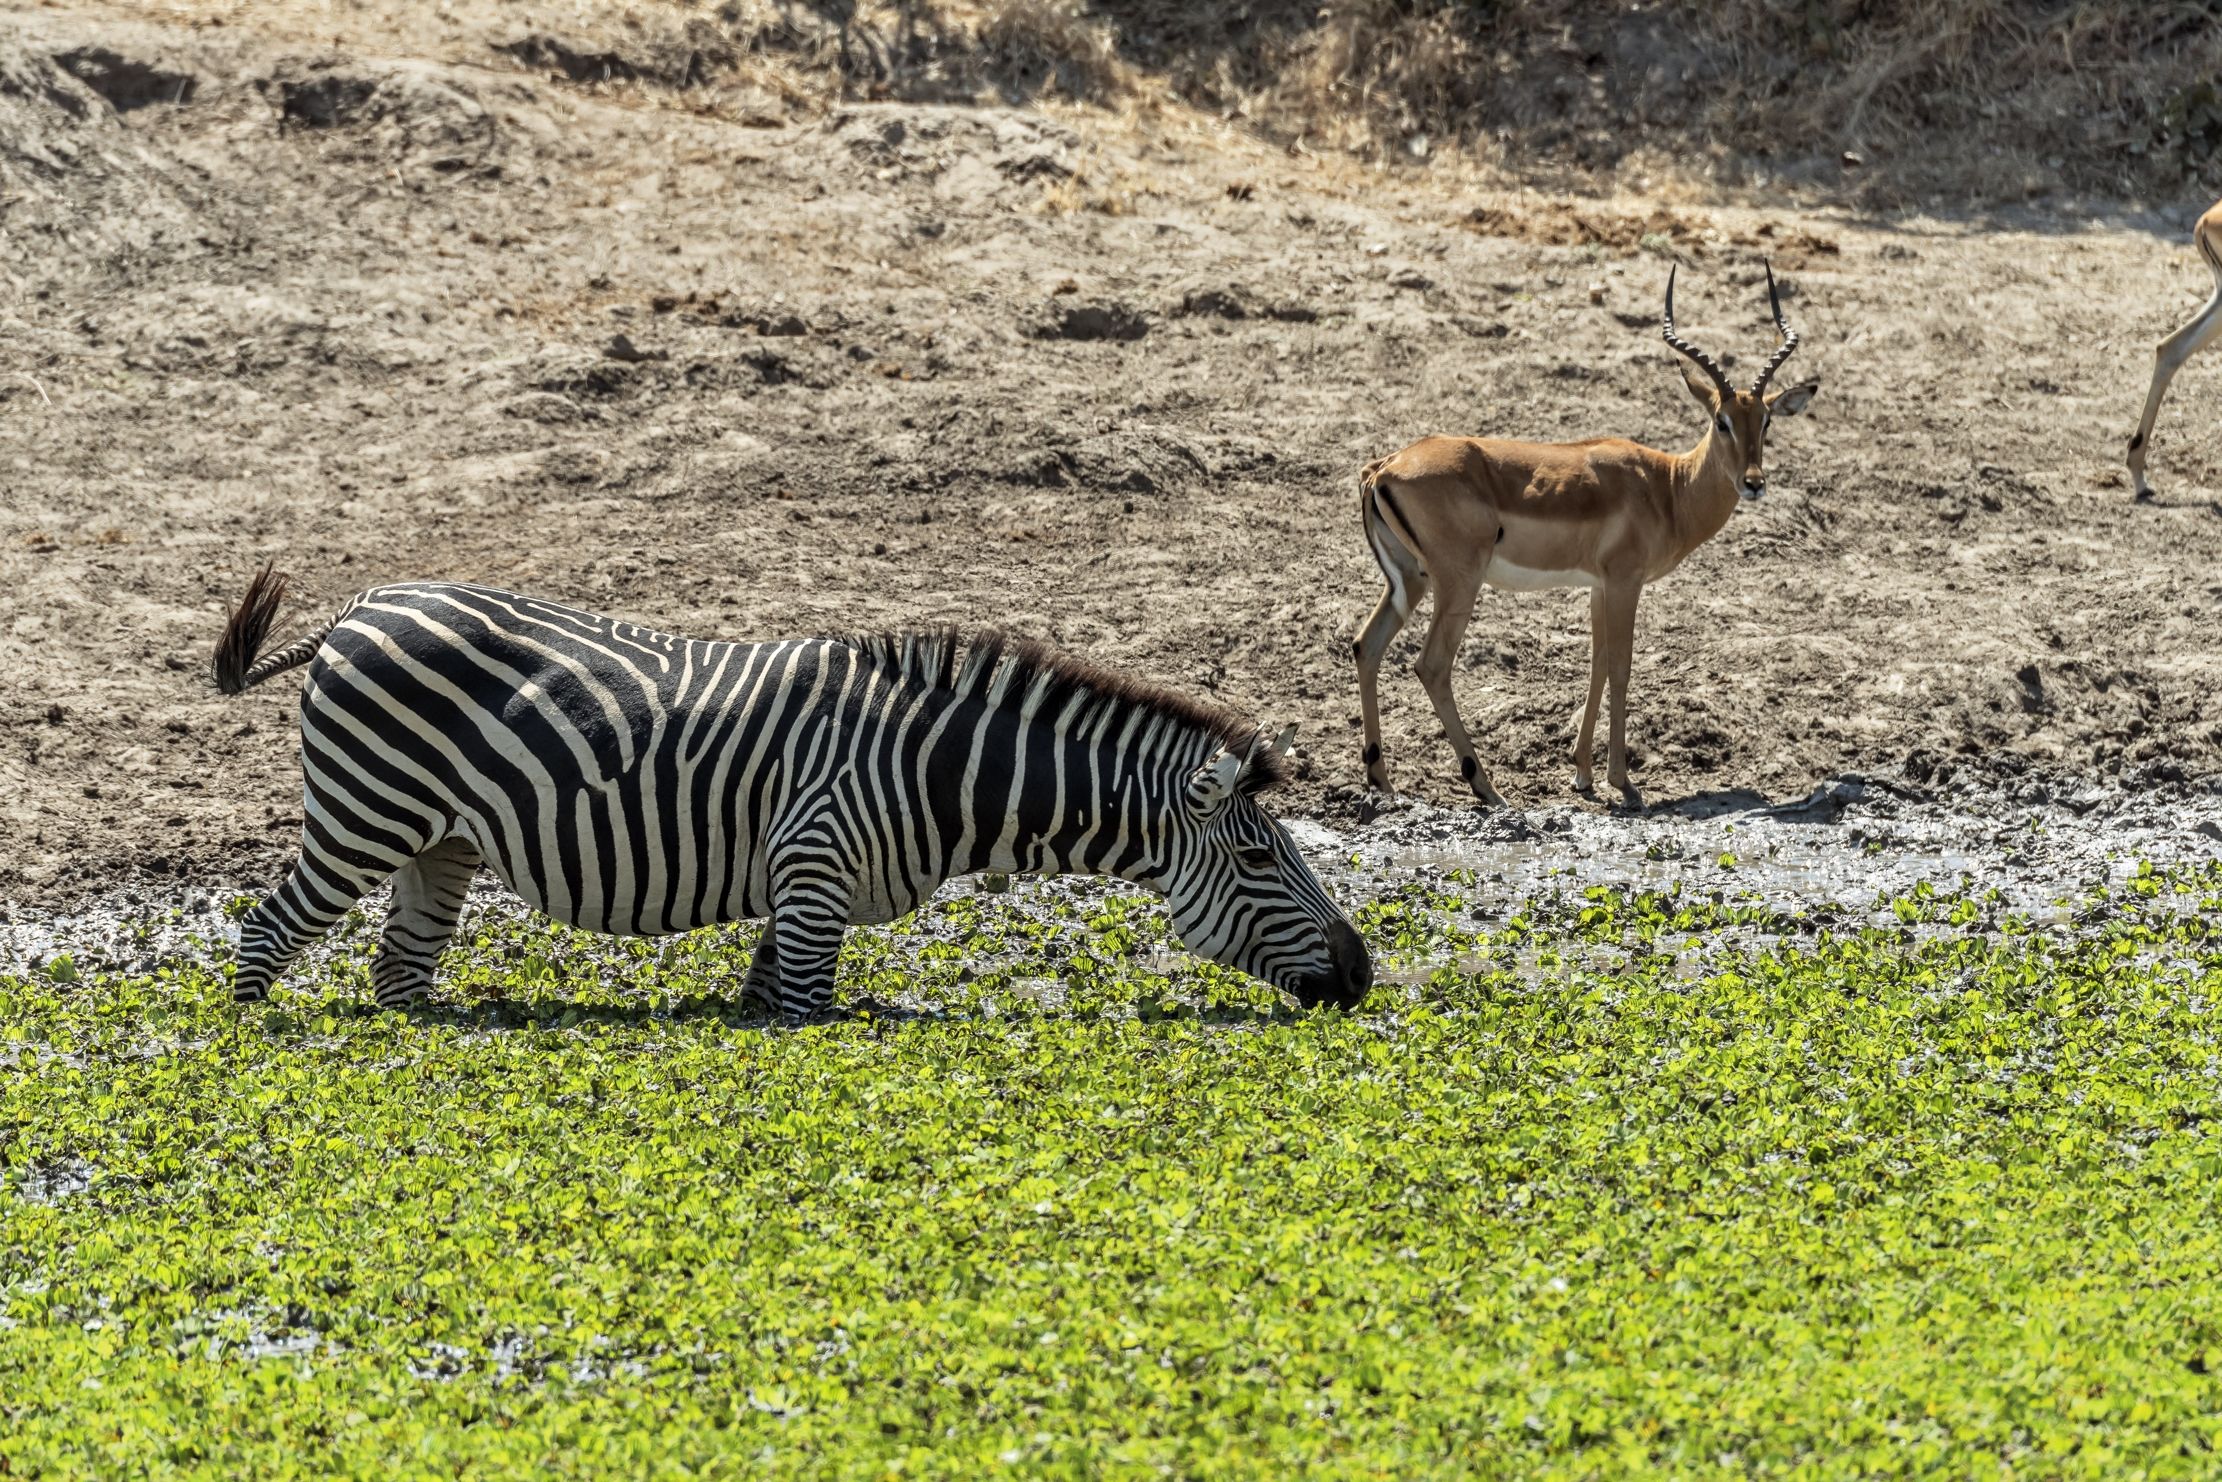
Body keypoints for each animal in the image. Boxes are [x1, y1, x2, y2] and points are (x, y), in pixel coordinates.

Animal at [216, 568, 1377, 1022]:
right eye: (1260, 856)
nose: (1363, 975)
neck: (934, 767)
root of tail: (359, 606)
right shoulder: (815, 872)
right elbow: (807, 1016)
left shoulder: (792, 889)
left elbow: (766, 1003)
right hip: (365, 815)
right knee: (265, 933)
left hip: (439, 841)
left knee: (399, 971)